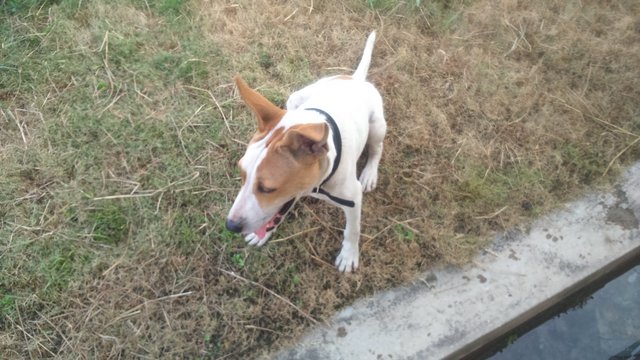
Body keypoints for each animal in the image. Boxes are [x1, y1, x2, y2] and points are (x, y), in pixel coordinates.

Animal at [225, 31, 384, 272]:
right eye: (241, 174)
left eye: (268, 188)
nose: (231, 225)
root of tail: (355, 80)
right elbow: (280, 210)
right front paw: (264, 233)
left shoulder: (353, 198)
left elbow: (352, 230)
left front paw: (348, 255)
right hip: (295, 97)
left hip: (377, 126)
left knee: (376, 149)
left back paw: (369, 173)